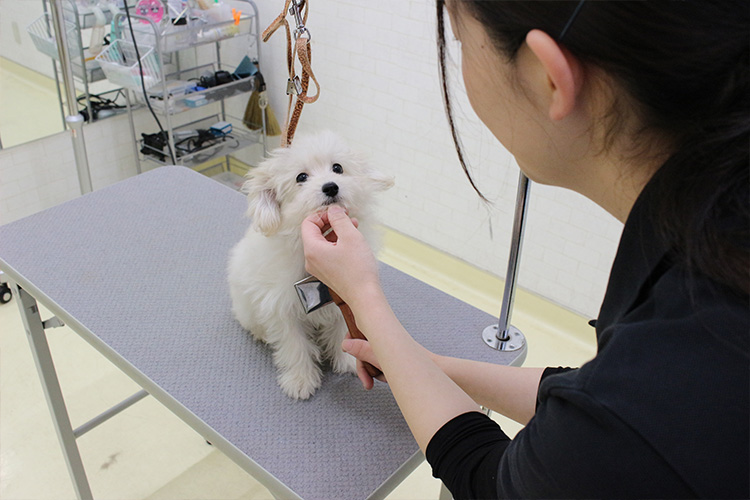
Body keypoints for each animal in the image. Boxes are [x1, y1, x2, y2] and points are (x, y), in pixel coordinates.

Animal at [228, 131, 394, 400]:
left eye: (337, 168)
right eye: (301, 177)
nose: (331, 186)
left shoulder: (341, 301)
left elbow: (342, 329)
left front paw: (347, 360)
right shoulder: (282, 308)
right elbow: (294, 346)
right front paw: (300, 380)